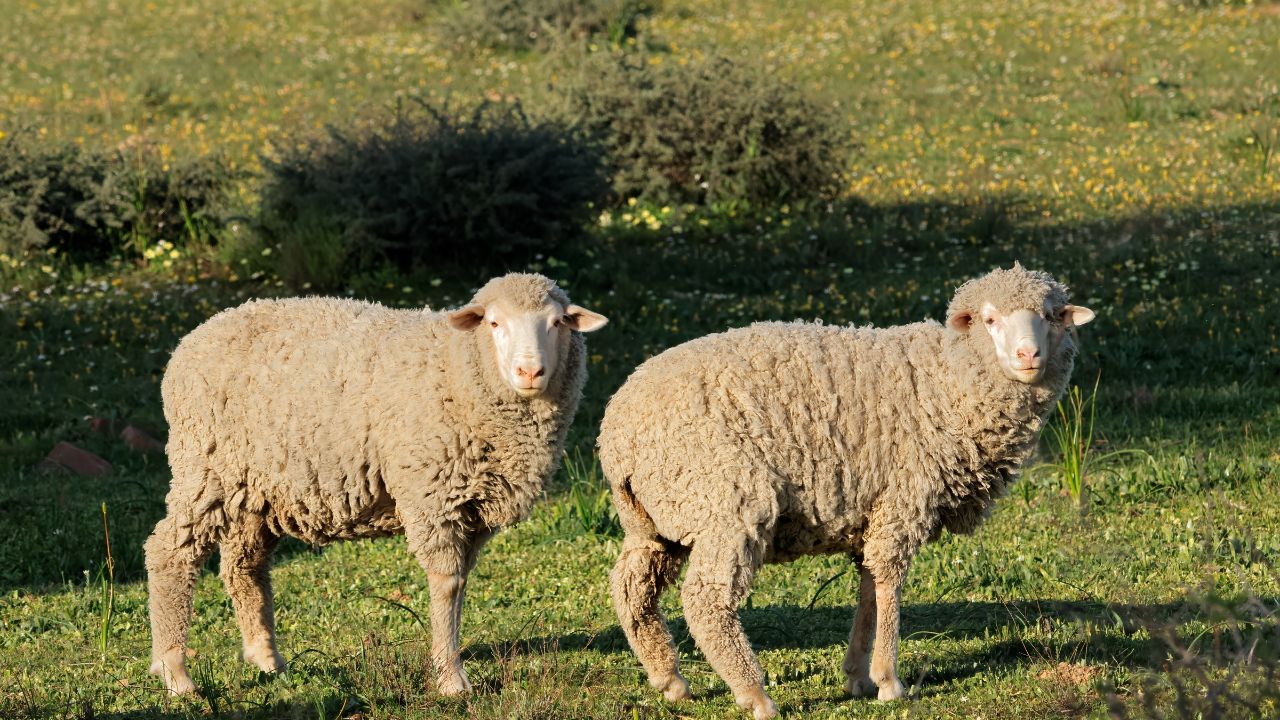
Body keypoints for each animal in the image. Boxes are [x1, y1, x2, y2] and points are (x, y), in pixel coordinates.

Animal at [144, 273, 607, 696]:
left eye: (557, 322)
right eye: (494, 323)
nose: (529, 371)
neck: (454, 365)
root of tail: (192, 340)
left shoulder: (473, 510)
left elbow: (461, 584)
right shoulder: (431, 495)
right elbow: (446, 584)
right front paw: (451, 678)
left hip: (258, 489)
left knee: (244, 566)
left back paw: (267, 659)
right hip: (204, 467)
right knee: (170, 554)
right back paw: (175, 672)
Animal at [599, 264, 1095, 719]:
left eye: (1052, 316)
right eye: (990, 320)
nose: (1028, 354)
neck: (944, 382)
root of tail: (618, 427)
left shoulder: (870, 510)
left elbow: (869, 589)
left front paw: (857, 674)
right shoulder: (903, 499)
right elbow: (889, 583)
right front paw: (889, 680)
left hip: (657, 517)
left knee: (631, 588)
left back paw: (669, 680)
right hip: (727, 500)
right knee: (706, 600)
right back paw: (754, 694)